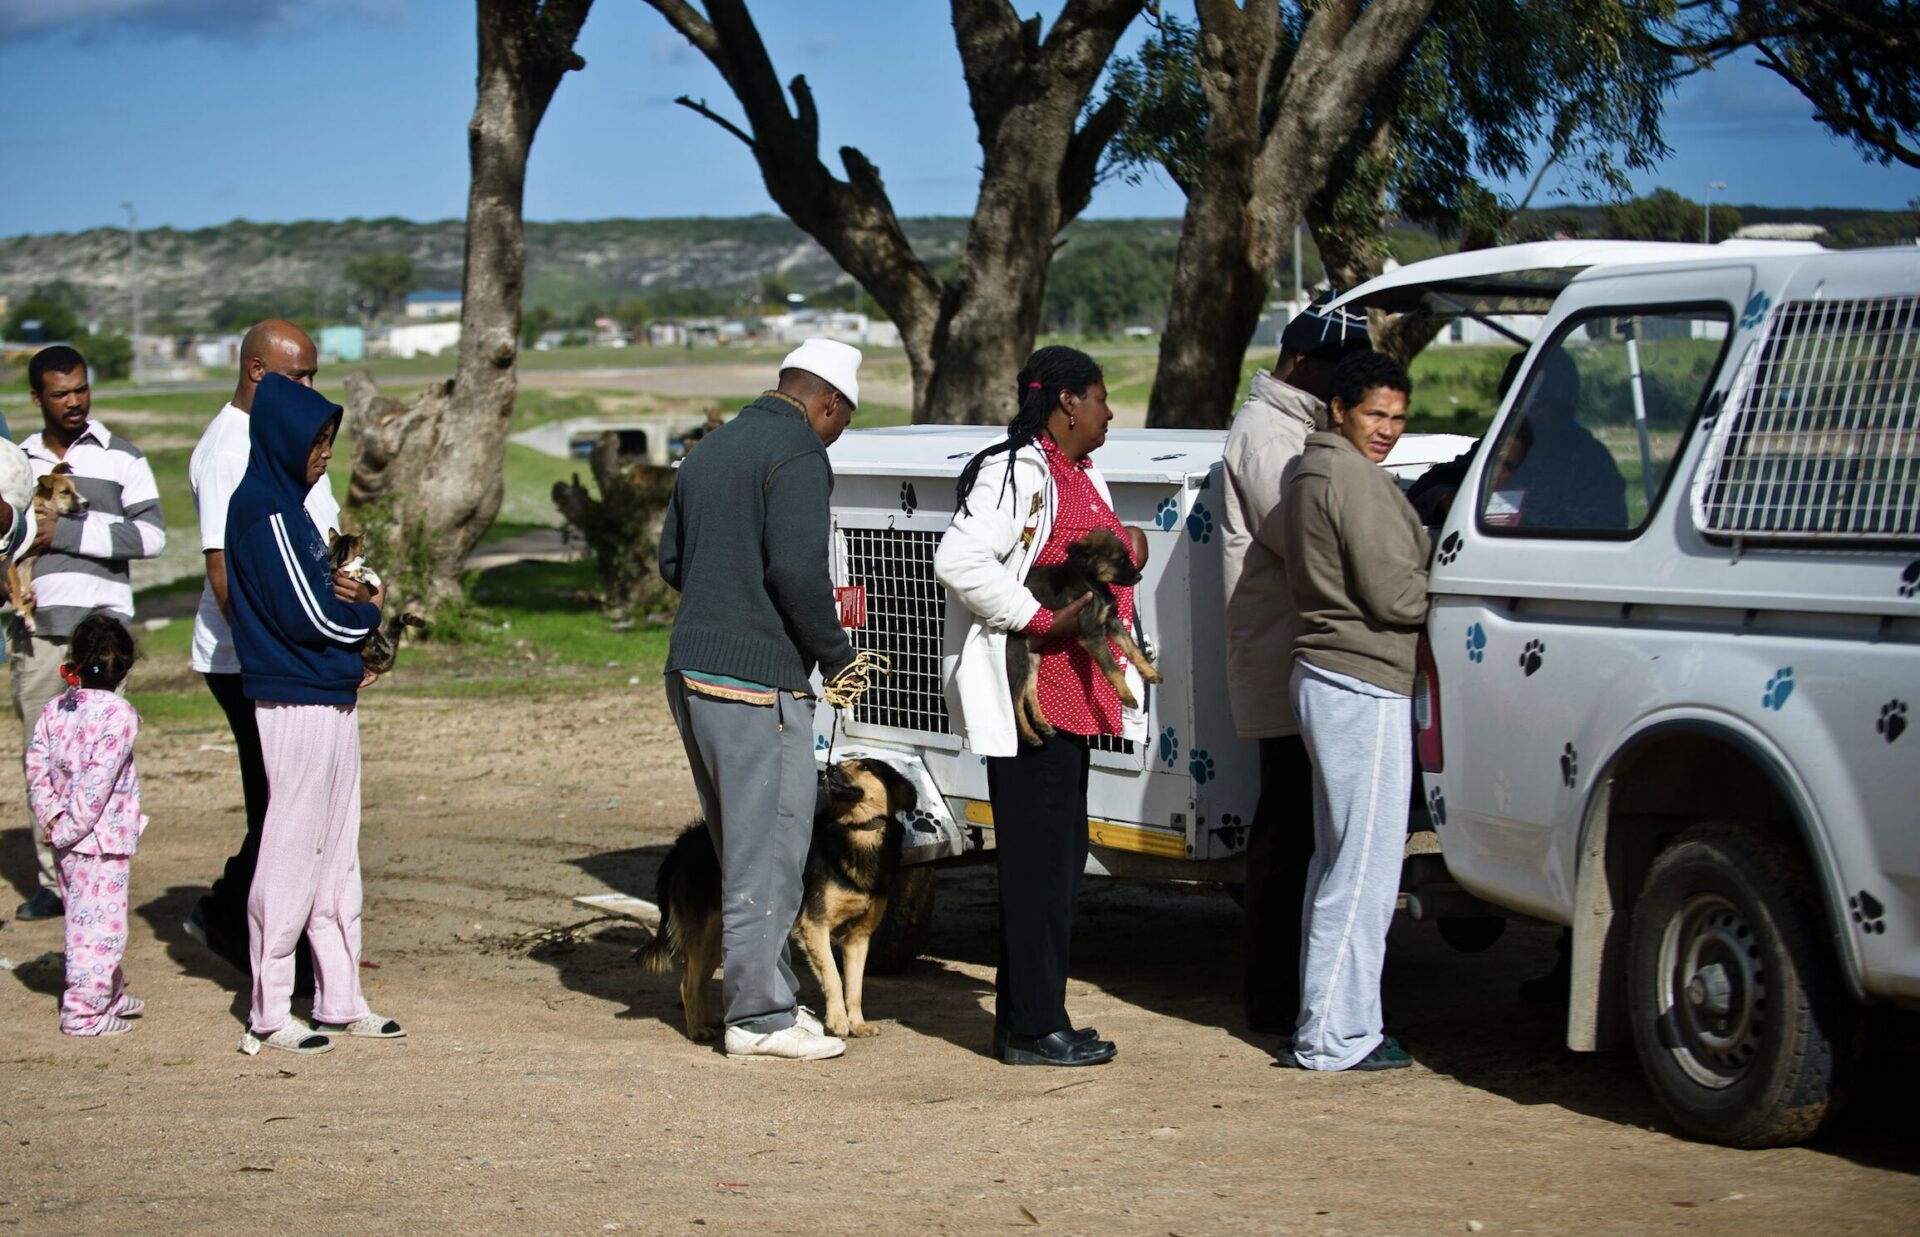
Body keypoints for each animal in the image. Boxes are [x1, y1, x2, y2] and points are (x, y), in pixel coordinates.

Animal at [637, 752, 921, 1044]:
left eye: (865, 766)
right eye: (842, 765)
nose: (829, 770)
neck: (856, 830)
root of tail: (679, 846)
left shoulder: (859, 938)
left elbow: (855, 988)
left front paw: (858, 1024)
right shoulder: (814, 925)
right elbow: (833, 976)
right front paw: (838, 1022)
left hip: (718, 936)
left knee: (702, 979)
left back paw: (711, 1019)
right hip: (702, 932)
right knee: (688, 983)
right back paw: (696, 1029)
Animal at [1013, 522, 1159, 745]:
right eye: (1119, 559)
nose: (1139, 577)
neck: (1093, 583)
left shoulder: (1112, 621)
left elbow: (1134, 650)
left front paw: (1150, 673)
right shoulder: (1092, 633)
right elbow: (1113, 668)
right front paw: (1127, 695)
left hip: (1033, 658)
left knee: (1029, 692)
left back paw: (1042, 724)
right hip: (1018, 657)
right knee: (1015, 699)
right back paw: (1029, 735)